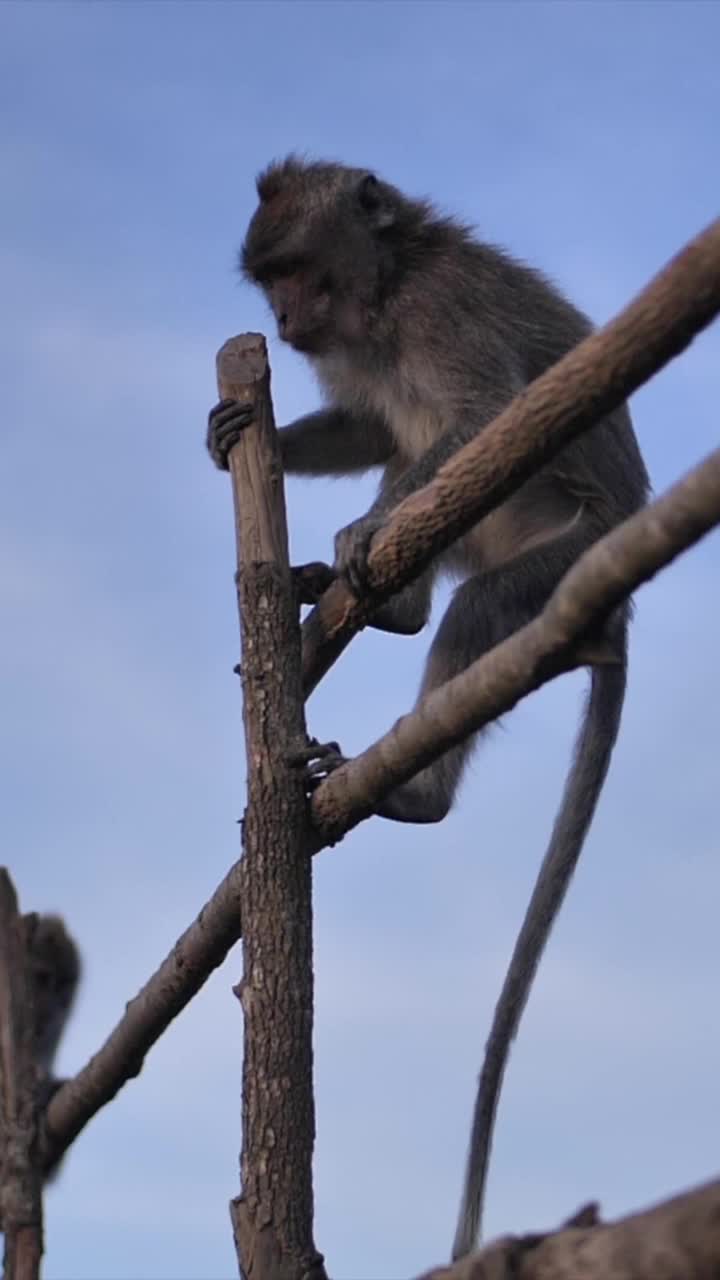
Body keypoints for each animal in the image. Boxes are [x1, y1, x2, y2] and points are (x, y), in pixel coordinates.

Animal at [204, 154, 648, 1254]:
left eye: (296, 271)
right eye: (268, 282)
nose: (284, 319)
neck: (389, 289)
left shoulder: (443, 314)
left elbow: (481, 412)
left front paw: (368, 533)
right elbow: (372, 421)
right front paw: (244, 431)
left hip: (563, 547)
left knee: (481, 583)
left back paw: (414, 746)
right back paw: (388, 602)